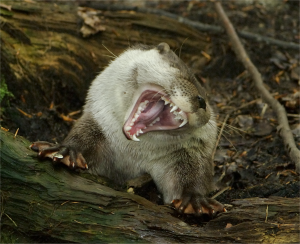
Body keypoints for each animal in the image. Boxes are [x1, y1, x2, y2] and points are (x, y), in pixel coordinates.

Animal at [31, 43, 226, 214]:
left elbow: (193, 175)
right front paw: (65, 151)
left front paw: (195, 199)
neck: (133, 154)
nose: (201, 101)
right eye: (177, 69)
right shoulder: (98, 120)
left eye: (207, 99)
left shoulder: (190, 153)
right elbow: (82, 136)